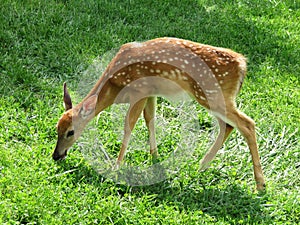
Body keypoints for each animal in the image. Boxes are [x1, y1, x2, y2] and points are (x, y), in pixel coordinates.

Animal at [52, 37, 266, 191]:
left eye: (70, 132)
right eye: (56, 129)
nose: (56, 155)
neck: (114, 86)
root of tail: (242, 65)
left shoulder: (139, 90)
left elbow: (128, 126)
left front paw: (116, 167)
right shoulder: (151, 92)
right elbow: (150, 119)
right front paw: (155, 156)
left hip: (212, 94)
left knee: (247, 124)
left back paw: (260, 185)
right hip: (216, 97)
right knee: (228, 125)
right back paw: (202, 165)